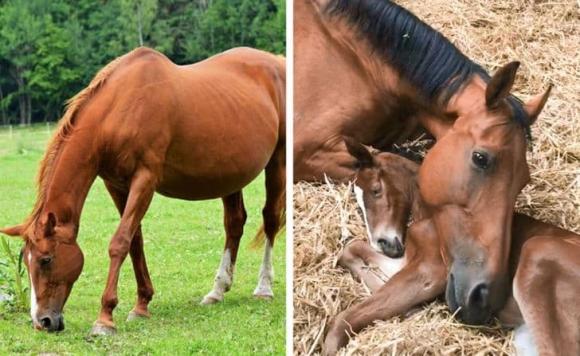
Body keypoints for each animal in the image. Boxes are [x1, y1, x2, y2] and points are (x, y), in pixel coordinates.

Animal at [0, 46, 286, 336]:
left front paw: (105, 318)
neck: (120, 109)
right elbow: (135, 241)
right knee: (234, 224)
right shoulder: (116, 184)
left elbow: (120, 242)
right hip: (230, 176)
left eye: (46, 260)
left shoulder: (145, 180)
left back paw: (264, 288)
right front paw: (141, 305)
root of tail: (277, 62)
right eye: (26, 260)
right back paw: (217, 290)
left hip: (278, 162)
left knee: (271, 220)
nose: (43, 321)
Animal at [326, 140, 580, 354]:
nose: (384, 244)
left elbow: (344, 319)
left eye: (376, 189)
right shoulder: (410, 259)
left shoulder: (431, 270)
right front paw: (408, 307)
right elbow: (351, 250)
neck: (431, 215)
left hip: (538, 250)